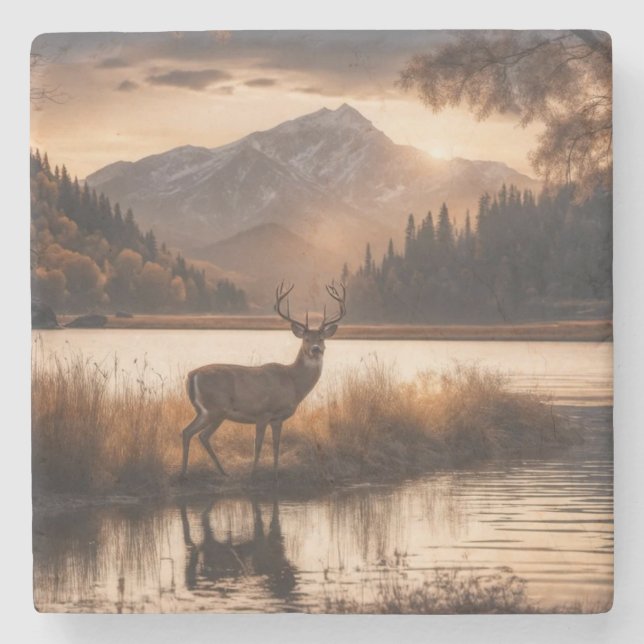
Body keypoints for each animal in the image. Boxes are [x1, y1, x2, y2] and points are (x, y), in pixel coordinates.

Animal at [180, 281, 346, 481]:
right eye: (306, 339)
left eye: (321, 339)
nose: (315, 349)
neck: (293, 383)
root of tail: (192, 374)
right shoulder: (263, 412)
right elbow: (258, 445)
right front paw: (253, 473)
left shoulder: (277, 418)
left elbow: (276, 445)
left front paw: (275, 473)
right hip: (216, 409)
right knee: (198, 434)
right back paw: (202, 472)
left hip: (206, 411)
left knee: (190, 433)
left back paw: (203, 472)